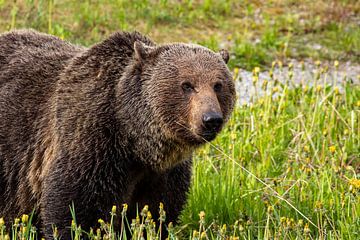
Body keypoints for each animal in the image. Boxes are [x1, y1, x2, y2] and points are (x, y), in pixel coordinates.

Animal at [0, 29, 236, 238]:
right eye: (187, 85)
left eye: (218, 85)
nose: (211, 119)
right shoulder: (91, 145)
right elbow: (75, 209)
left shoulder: (163, 174)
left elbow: (157, 212)